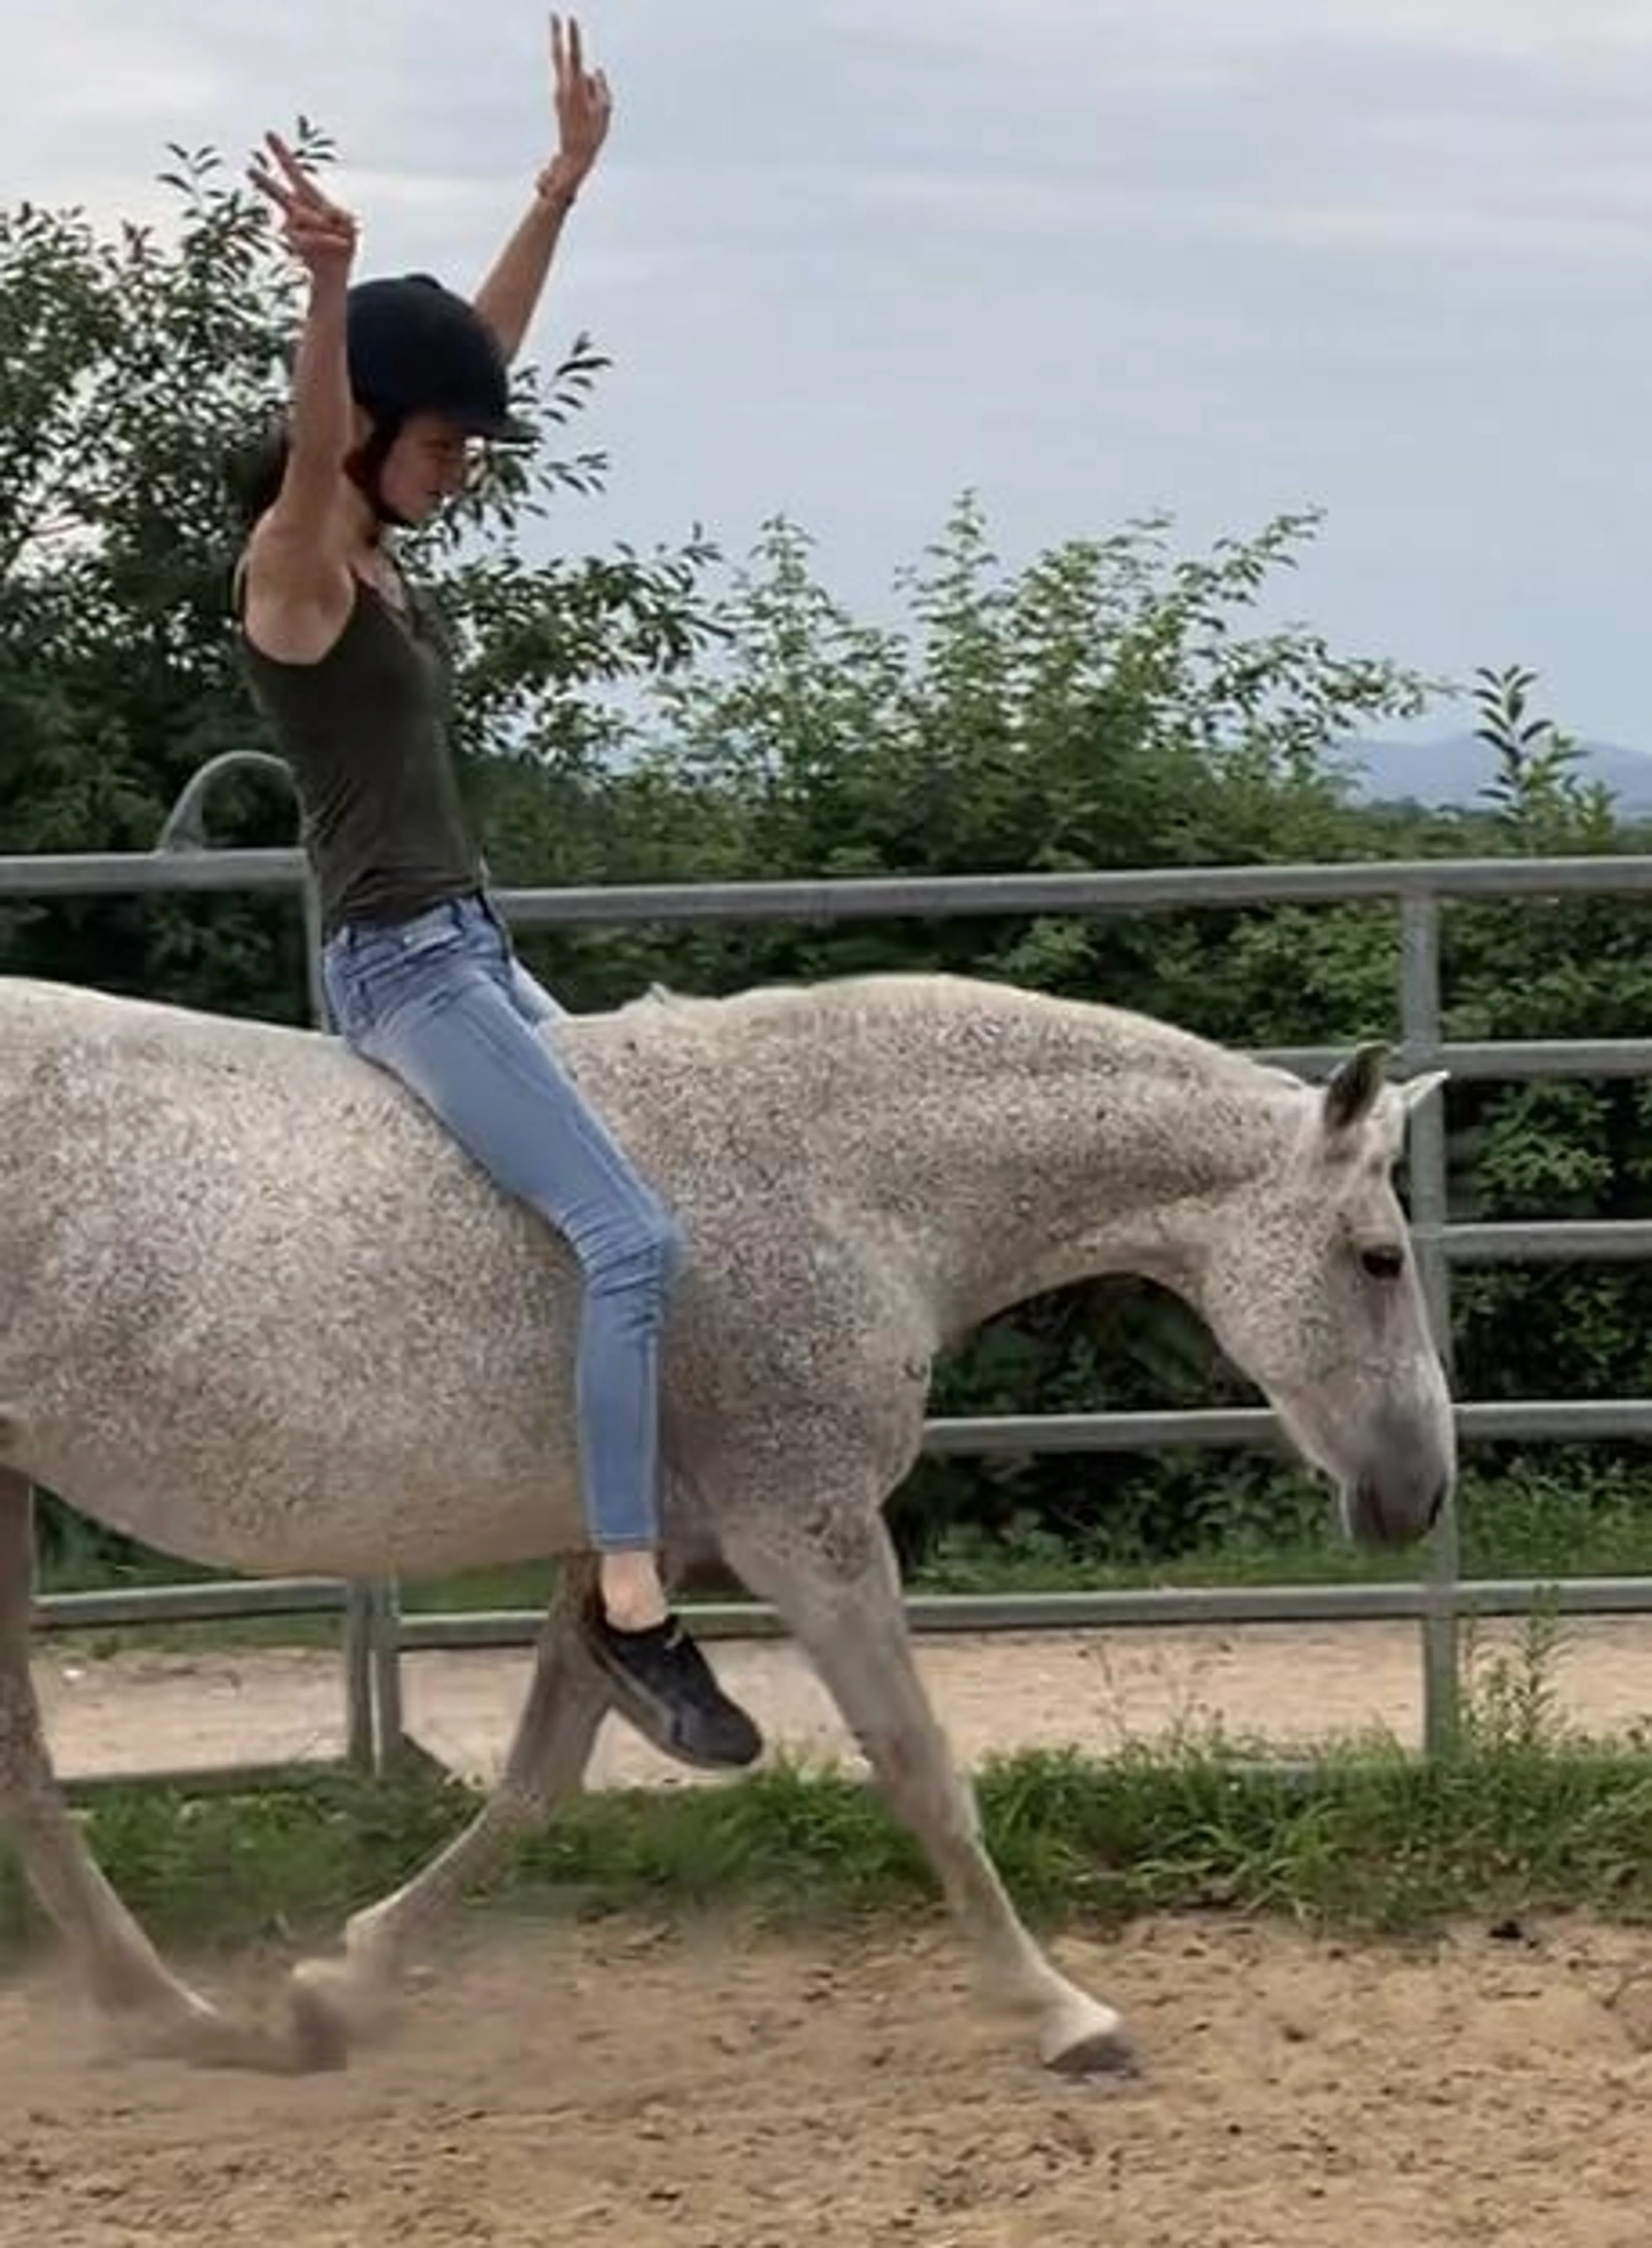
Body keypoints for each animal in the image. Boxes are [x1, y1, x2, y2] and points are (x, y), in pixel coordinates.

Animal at [0, 964, 1452, 2078]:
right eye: (1380, 1259)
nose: (1420, 1491)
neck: (840, 1185)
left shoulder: (624, 1555)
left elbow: (538, 1777)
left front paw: (342, 1984)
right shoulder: (807, 1530)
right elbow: (920, 1768)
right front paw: (1065, 2015)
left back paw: (174, 2013)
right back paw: (165, 2011)